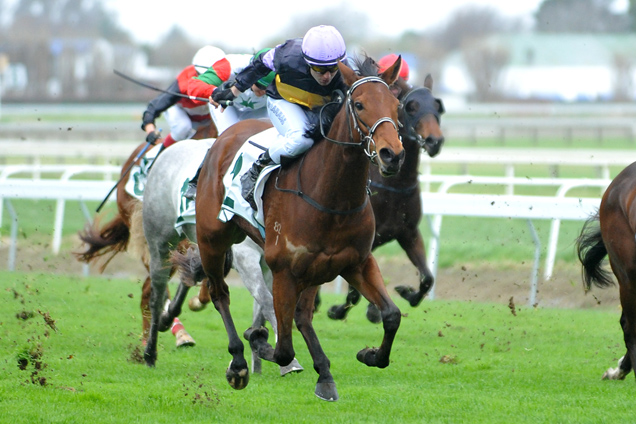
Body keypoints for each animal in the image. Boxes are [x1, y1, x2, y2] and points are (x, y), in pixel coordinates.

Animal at [164, 58, 402, 400]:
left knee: (301, 315)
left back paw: (322, 372)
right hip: (212, 239)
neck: (330, 197)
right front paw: (257, 338)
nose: (391, 155)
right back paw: (238, 361)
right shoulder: (284, 271)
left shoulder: (355, 262)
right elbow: (283, 348)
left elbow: (391, 315)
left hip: (313, 269)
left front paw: (368, 355)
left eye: (397, 105)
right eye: (359, 104)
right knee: (221, 294)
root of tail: (224, 137)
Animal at [326, 73, 444, 322]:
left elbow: (427, 278)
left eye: (437, 106)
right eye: (410, 107)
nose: (434, 141)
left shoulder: (408, 232)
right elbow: (354, 292)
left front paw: (406, 292)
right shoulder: (362, 244)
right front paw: (339, 310)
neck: (395, 187)